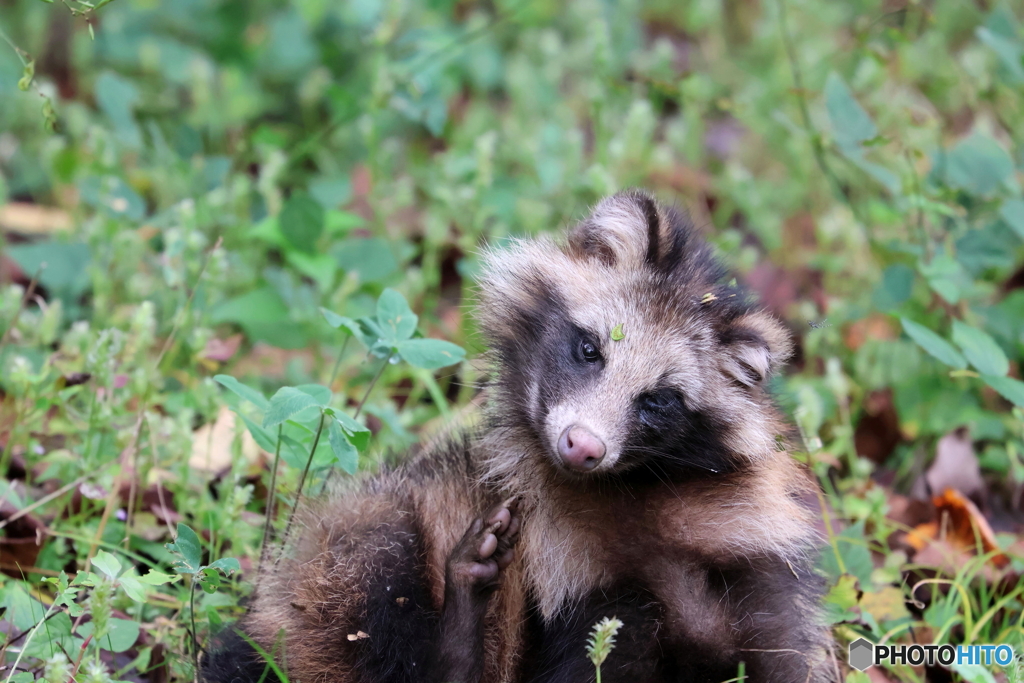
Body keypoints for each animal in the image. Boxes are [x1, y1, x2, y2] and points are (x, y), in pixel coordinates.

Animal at [205, 188, 831, 683]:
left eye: (657, 399)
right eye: (589, 348)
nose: (583, 445)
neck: (634, 491)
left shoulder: (748, 564)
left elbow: (778, 657)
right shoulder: (580, 588)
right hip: (359, 544)